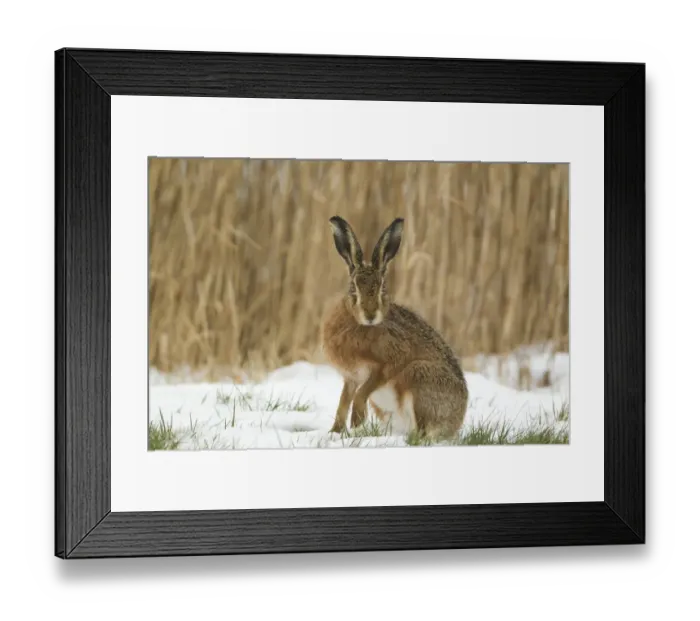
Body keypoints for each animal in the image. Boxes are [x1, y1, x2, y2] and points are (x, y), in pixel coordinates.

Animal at [321, 215, 469, 442]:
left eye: (382, 287)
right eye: (353, 287)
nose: (370, 315)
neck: (359, 324)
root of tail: (456, 422)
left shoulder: (391, 361)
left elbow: (363, 392)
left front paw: (357, 421)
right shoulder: (351, 377)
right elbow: (342, 403)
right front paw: (335, 433)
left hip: (419, 375)